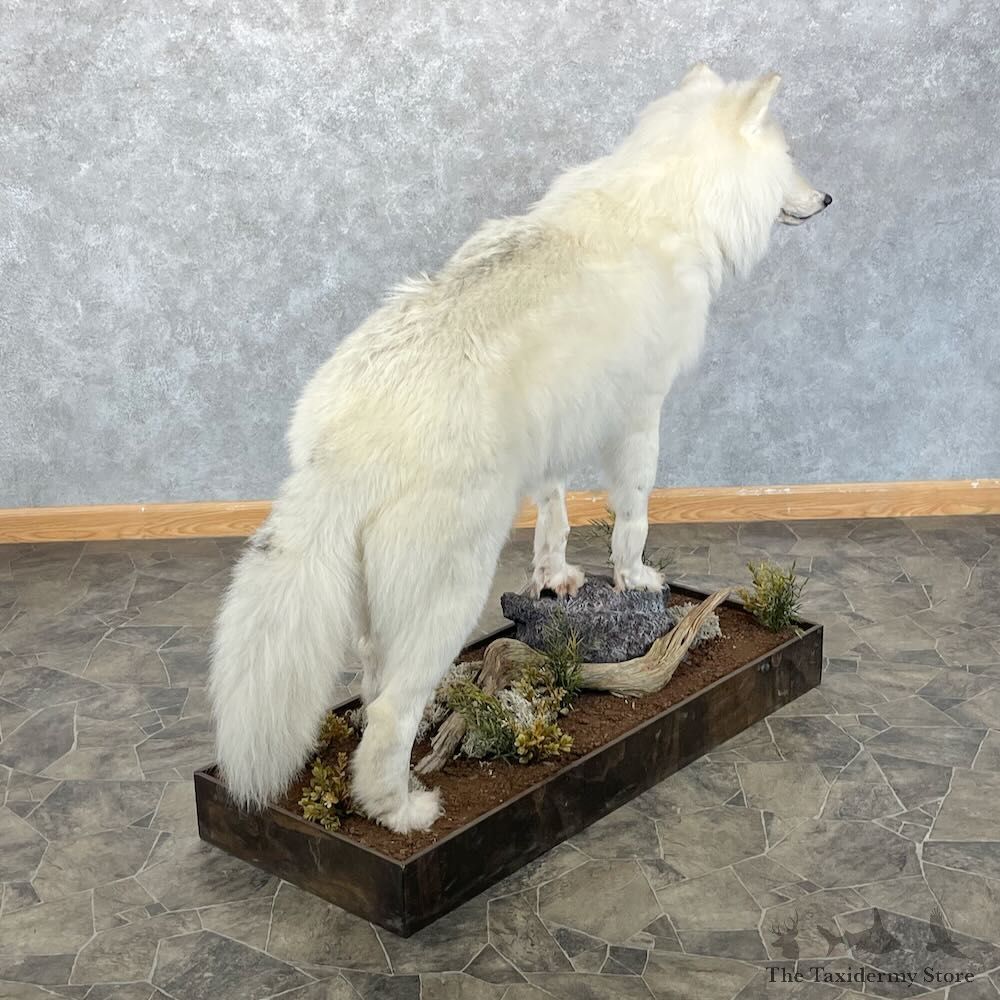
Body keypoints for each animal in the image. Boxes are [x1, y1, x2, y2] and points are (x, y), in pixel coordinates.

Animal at [209, 64, 831, 833]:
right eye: (790, 158)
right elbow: (633, 517)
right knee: (388, 715)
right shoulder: (640, 414)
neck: (664, 202)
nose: (827, 197)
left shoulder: (556, 439)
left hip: (380, 610)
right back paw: (403, 813)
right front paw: (637, 580)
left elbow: (555, 520)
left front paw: (555, 581)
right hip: (451, 593)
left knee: (372, 685)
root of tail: (348, 437)